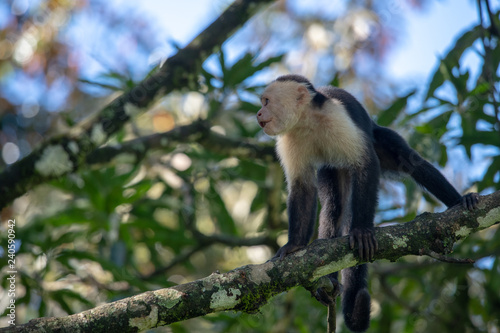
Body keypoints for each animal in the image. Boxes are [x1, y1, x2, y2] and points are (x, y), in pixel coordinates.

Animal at [256, 74, 478, 330]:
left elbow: (366, 164)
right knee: (335, 207)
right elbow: (302, 188)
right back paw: (330, 282)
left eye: (266, 101)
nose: (258, 114)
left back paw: (459, 200)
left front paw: (361, 231)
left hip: (377, 136)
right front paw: (294, 245)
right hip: (333, 169)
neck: (306, 121)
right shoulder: (289, 140)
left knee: (408, 159)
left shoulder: (336, 117)